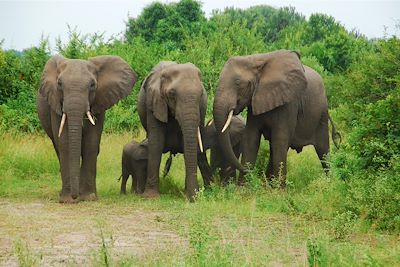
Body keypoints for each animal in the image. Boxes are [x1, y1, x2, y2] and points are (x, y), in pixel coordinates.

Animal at [37, 55, 138, 204]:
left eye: (92, 85)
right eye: (59, 84)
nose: (74, 197)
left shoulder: (100, 101)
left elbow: (91, 143)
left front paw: (89, 198)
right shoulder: (55, 105)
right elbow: (65, 143)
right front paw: (67, 200)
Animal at [138, 60, 211, 201]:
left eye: (201, 94)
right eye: (172, 94)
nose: (192, 198)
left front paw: (189, 194)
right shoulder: (154, 102)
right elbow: (156, 143)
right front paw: (150, 197)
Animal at [212, 50, 340, 188]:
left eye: (237, 82)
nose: (254, 173)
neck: (256, 60)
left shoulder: (289, 103)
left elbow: (280, 139)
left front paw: (279, 191)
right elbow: (251, 138)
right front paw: (243, 189)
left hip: (322, 115)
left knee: (323, 151)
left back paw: (330, 182)